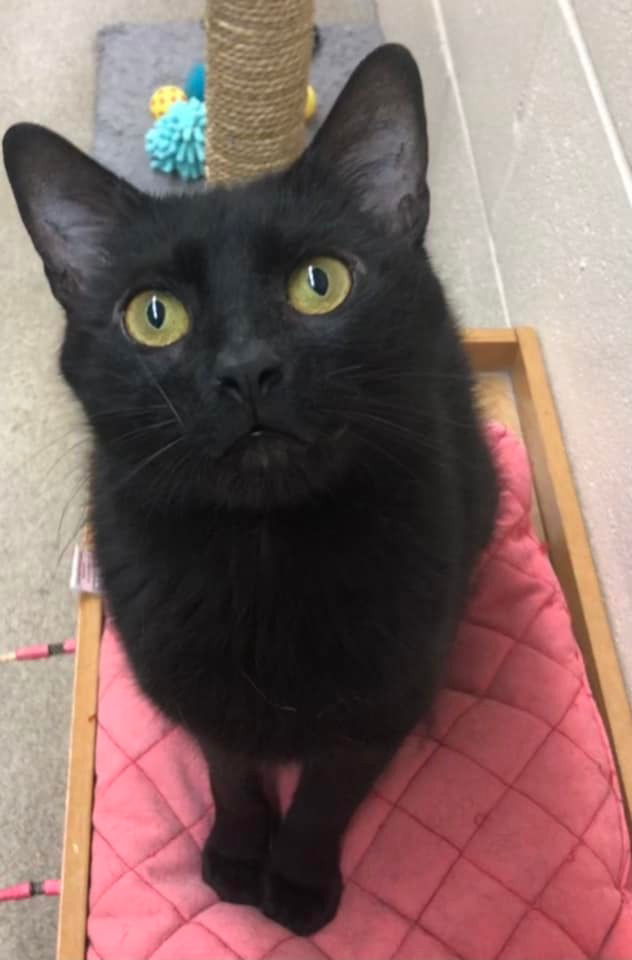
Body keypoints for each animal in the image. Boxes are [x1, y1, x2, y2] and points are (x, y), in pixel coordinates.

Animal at [4, 44, 498, 935]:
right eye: (154, 315)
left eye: (321, 283)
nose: (246, 369)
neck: (264, 553)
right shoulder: (193, 689)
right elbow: (228, 770)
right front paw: (236, 855)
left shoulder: (386, 701)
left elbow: (327, 796)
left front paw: (296, 881)